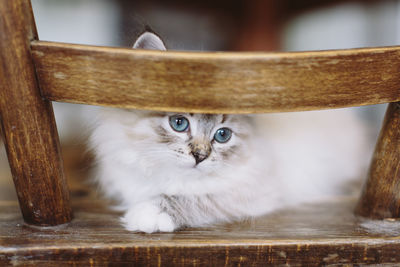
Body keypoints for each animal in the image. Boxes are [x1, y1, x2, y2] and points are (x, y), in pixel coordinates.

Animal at [89, 30, 370, 233]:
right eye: (179, 123)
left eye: (222, 135)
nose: (200, 156)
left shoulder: (251, 192)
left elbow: (195, 198)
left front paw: (149, 214)